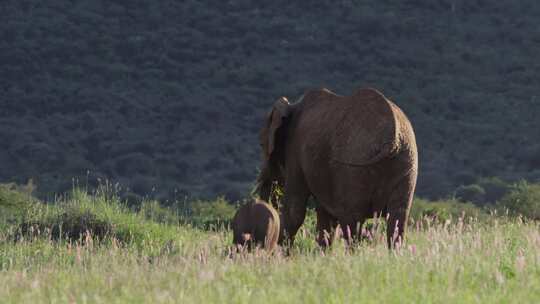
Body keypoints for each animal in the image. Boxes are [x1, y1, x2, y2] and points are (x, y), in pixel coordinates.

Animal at [255, 86, 420, 248]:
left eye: (262, 145)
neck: (292, 106)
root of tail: (392, 137)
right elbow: (326, 218)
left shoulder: (295, 150)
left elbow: (294, 212)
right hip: (406, 161)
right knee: (398, 218)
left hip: (354, 166)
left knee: (352, 220)